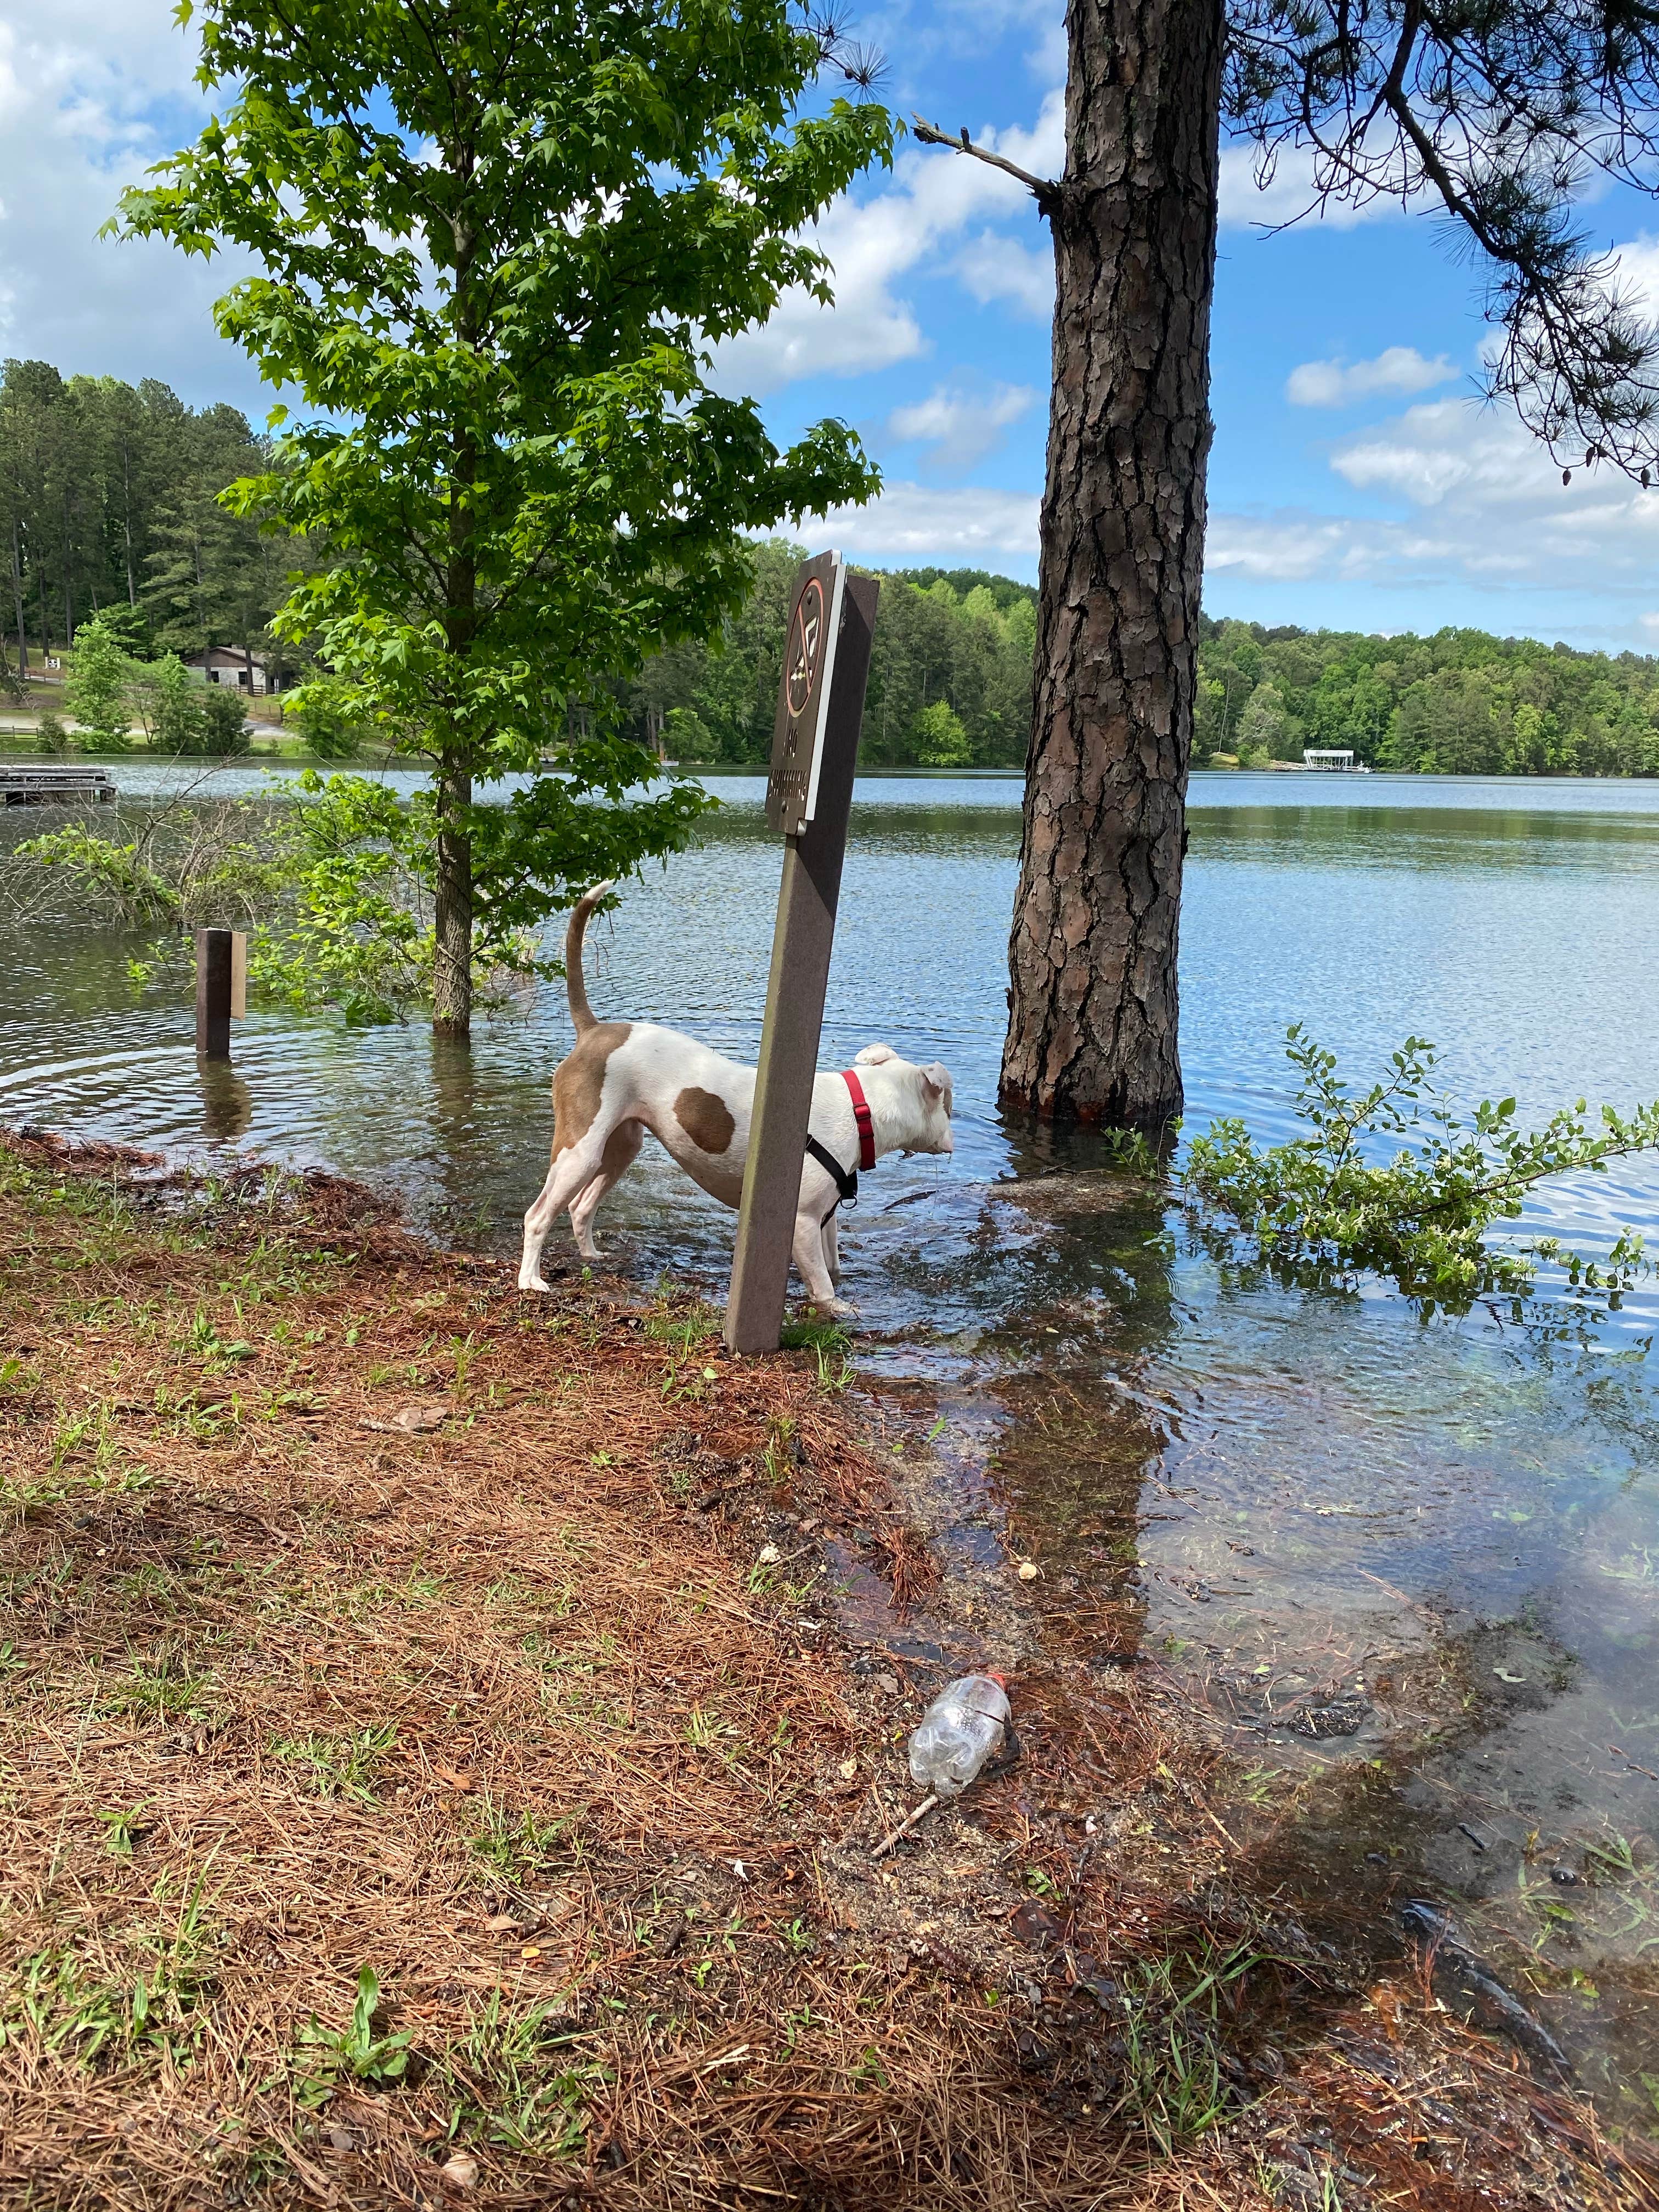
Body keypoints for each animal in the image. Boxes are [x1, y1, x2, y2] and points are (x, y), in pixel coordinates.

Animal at [520, 880, 960, 1309]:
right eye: (950, 1106)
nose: (953, 1139)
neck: (860, 1109)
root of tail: (594, 1030)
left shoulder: (826, 1219)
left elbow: (833, 1267)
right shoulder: (800, 1223)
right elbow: (823, 1285)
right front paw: (838, 1310)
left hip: (620, 1147)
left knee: (580, 1207)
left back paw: (592, 1256)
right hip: (579, 1152)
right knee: (537, 1216)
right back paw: (531, 1281)